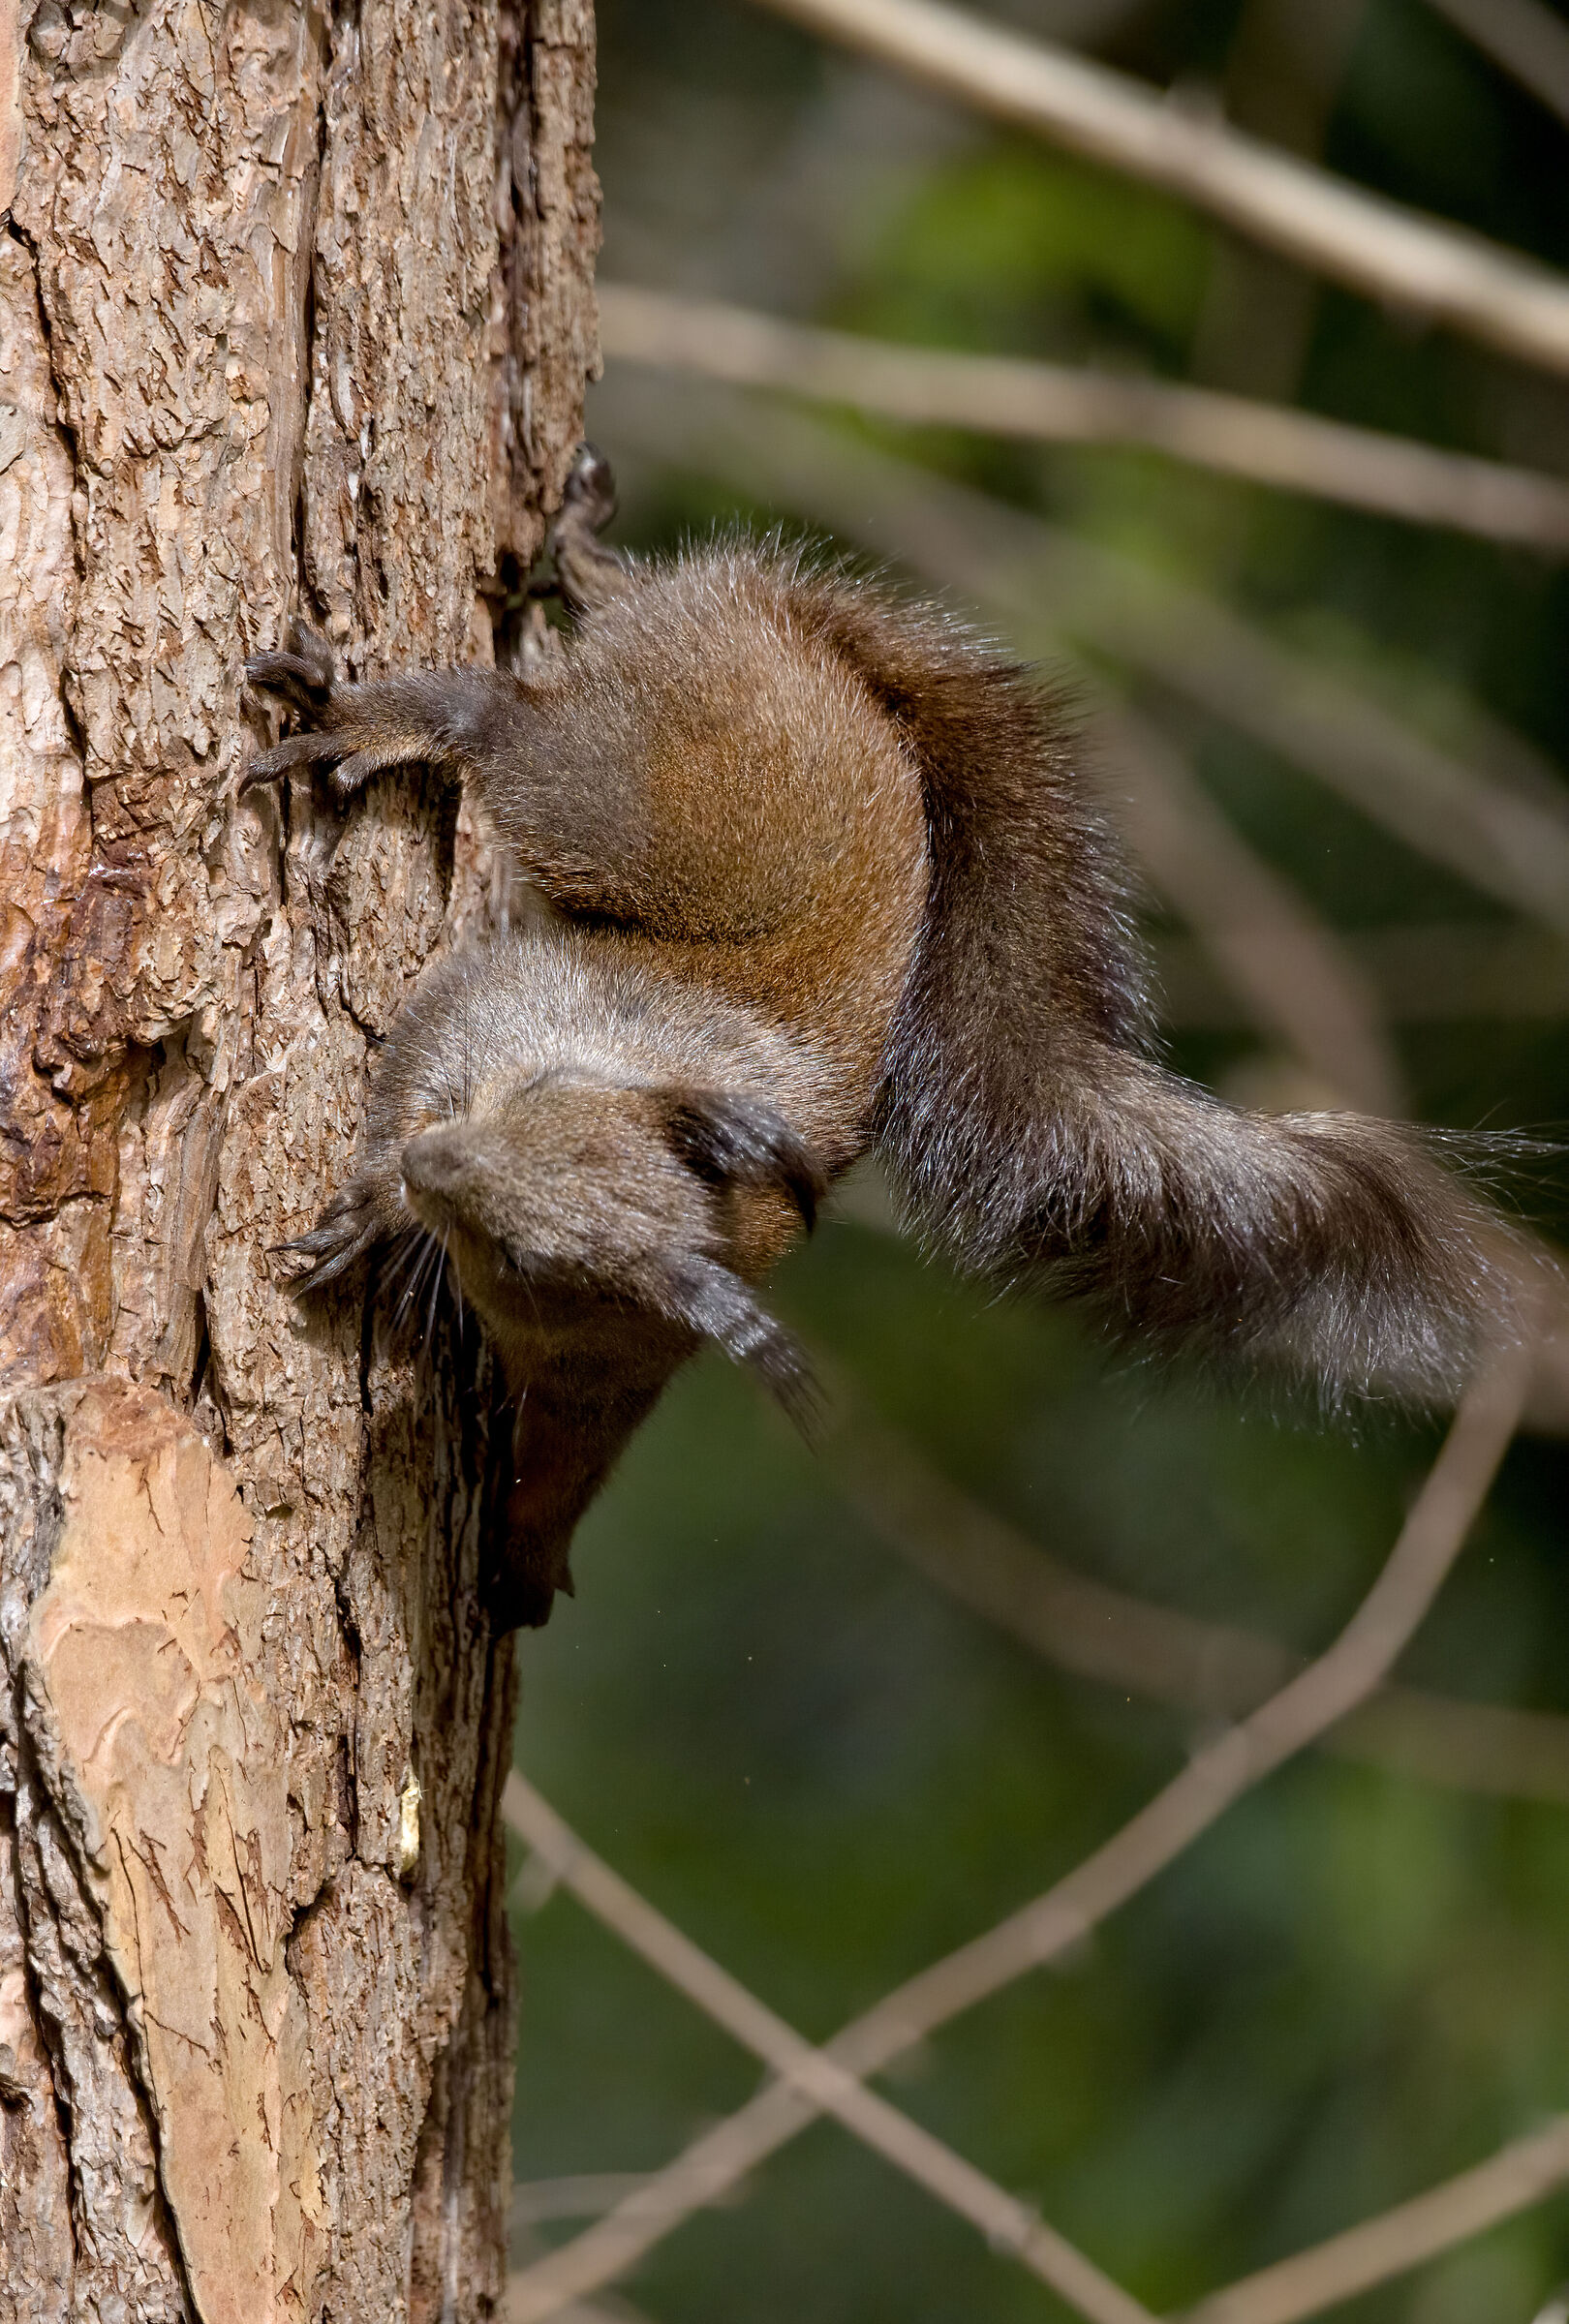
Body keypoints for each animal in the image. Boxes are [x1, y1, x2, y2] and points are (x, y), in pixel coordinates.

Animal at [244, 446, 1528, 1626]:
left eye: (533, 1264)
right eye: (539, 1103)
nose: (437, 1168)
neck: (645, 1073)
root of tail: (808, 641)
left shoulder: (617, 1369)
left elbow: (569, 1459)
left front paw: (527, 1556)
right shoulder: (517, 1005)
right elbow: (422, 1045)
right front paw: (376, 1205)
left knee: (601, 632)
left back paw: (582, 565)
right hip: (629, 786)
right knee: (508, 722)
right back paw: (391, 703)